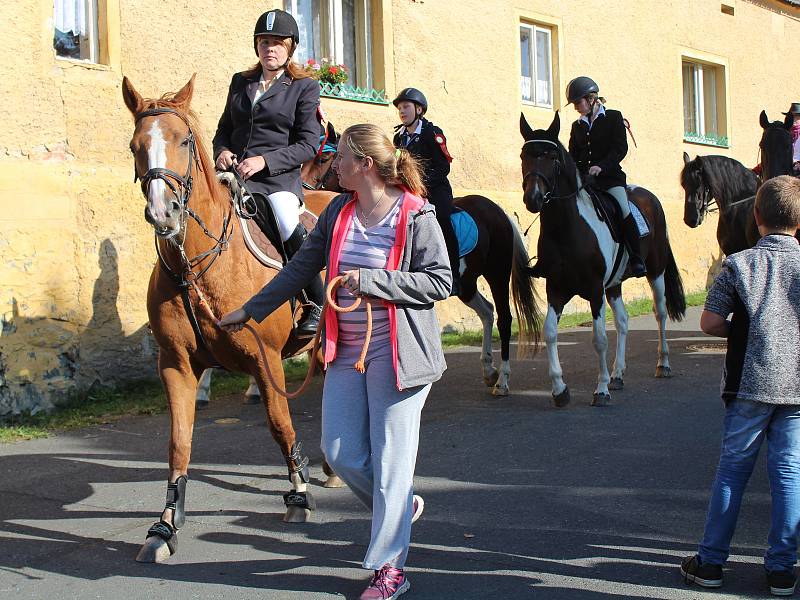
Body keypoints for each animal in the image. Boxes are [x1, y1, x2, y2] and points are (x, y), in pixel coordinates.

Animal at [122, 74, 338, 564]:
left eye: (183, 140)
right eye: (135, 145)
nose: (163, 213)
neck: (195, 265)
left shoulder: (266, 360)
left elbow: (280, 425)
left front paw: (299, 496)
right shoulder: (176, 365)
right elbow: (179, 444)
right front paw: (165, 526)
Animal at [520, 111, 688, 408]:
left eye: (551, 157)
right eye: (523, 155)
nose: (534, 198)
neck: (567, 228)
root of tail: (649, 197)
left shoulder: (595, 290)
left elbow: (598, 339)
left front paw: (600, 390)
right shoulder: (556, 289)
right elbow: (550, 332)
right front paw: (560, 389)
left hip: (655, 272)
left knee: (660, 313)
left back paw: (663, 364)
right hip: (615, 284)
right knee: (622, 321)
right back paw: (618, 374)